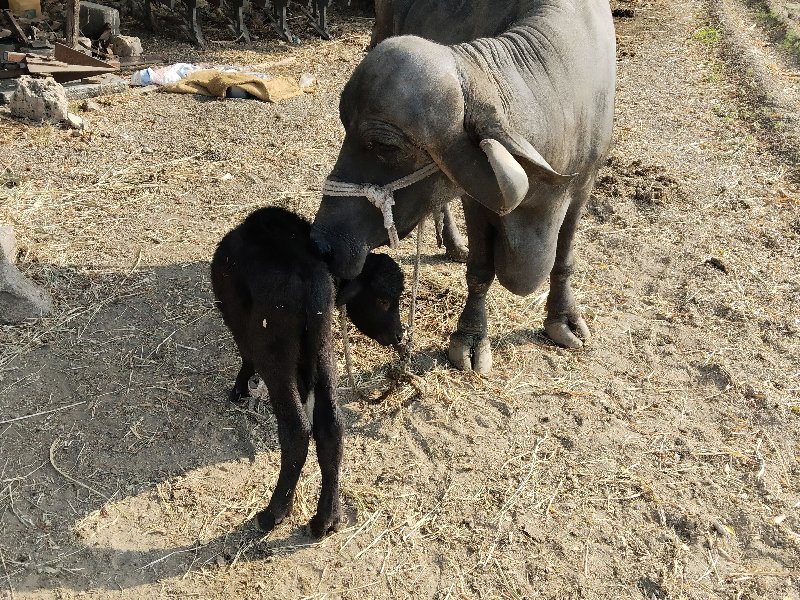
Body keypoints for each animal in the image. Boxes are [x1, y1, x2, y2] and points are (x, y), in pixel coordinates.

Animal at [310, 0, 612, 372]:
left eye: (385, 146)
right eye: (344, 124)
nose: (322, 243)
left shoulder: (583, 185)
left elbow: (563, 259)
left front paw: (564, 318)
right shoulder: (476, 199)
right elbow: (481, 270)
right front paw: (470, 338)